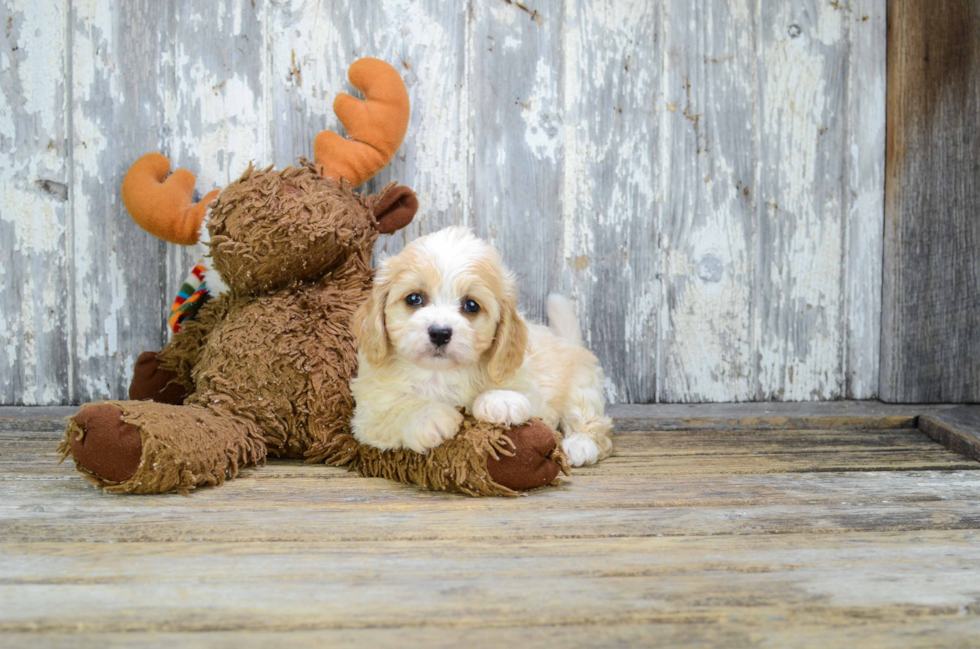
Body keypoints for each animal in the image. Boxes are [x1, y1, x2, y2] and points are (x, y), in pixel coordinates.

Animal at [352, 225, 612, 464]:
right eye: (414, 299)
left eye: (471, 305)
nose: (440, 333)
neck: (440, 374)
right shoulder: (368, 413)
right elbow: (396, 409)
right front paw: (428, 416)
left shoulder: (530, 385)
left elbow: (523, 394)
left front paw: (500, 401)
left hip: (582, 387)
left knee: (592, 421)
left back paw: (580, 444)